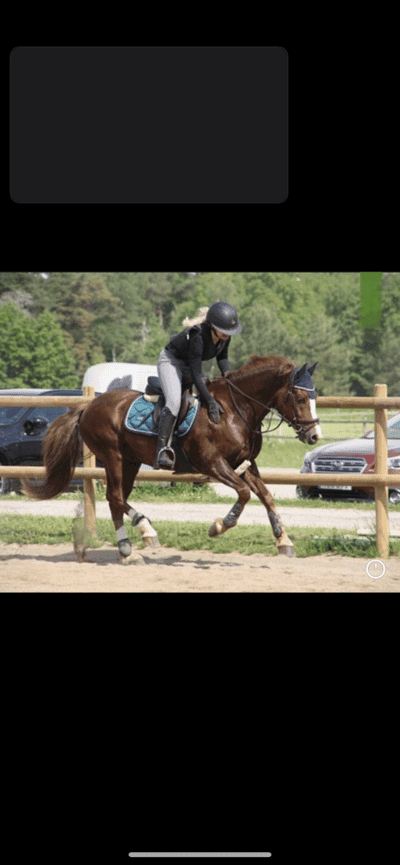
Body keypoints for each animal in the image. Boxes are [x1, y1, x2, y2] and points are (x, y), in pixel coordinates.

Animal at [21, 354, 322, 564]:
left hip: (130, 462)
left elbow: (265, 495)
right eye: (299, 398)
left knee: (115, 500)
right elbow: (245, 493)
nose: (314, 435)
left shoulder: (242, 463)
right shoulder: (212, 463)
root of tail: (87, 407)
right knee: (115, 497)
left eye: (314, 397)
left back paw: (127, 550)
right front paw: (219, 526)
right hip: (113, 457)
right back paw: (146, 531)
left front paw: (284, 541)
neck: (236, 410)